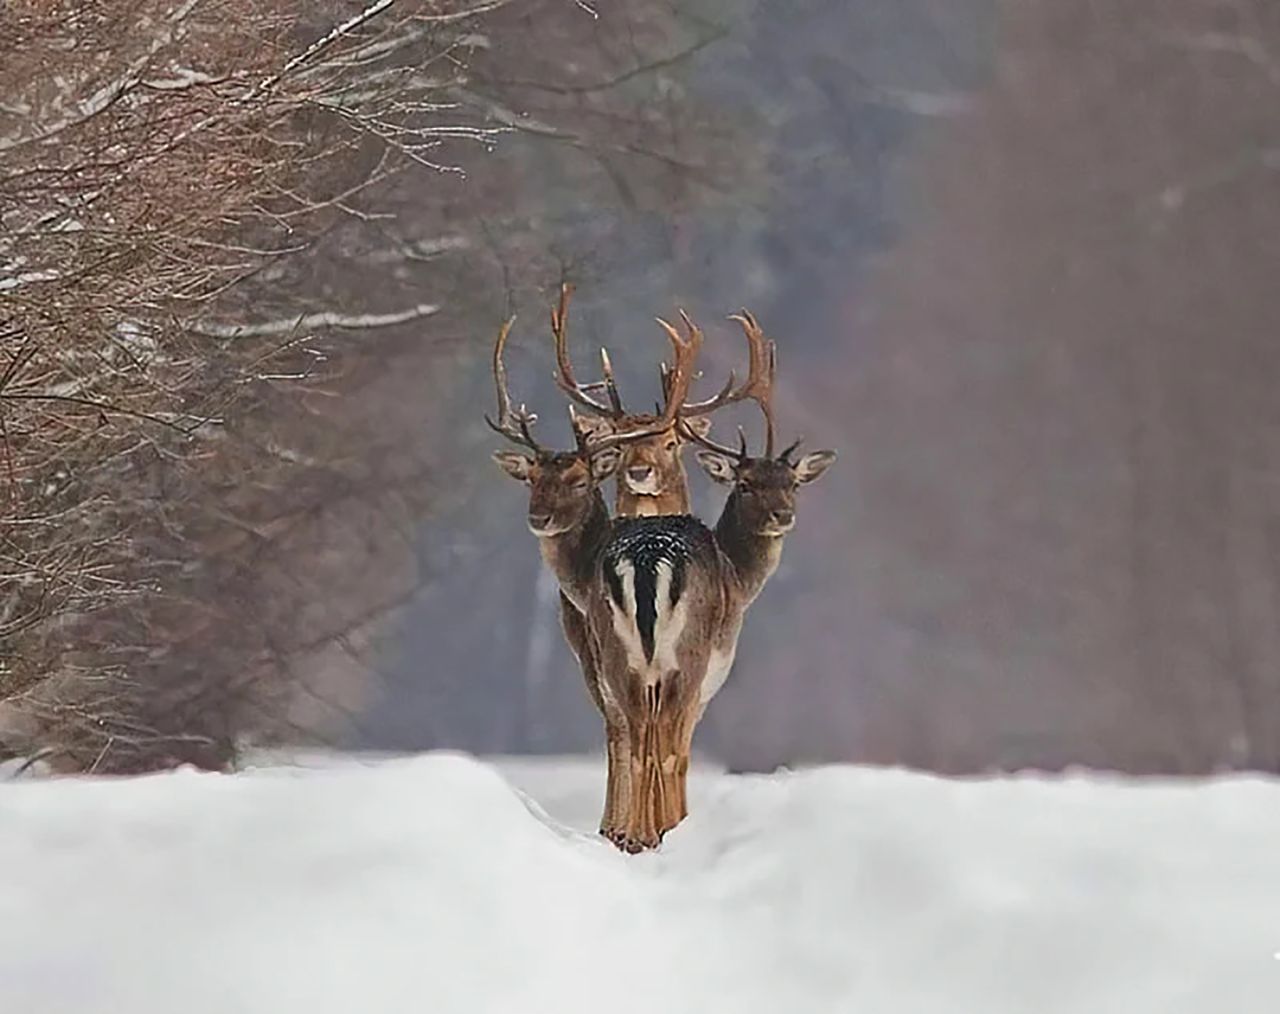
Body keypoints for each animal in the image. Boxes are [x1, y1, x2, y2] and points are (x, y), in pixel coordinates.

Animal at [583, 312, 839, 850]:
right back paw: (659, 832)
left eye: (791, 483)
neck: (738, 575)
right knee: (661, 743)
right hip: (686, 657)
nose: (783, 516)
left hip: (618, 658)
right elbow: (679, 751)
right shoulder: (710, 675)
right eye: (746, 484)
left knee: (632, 736)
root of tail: (645, 561)